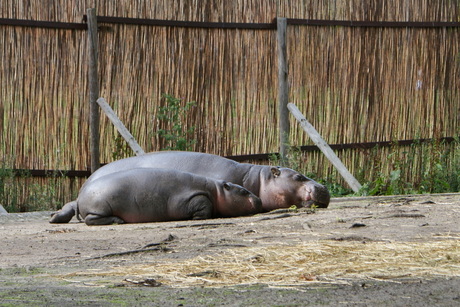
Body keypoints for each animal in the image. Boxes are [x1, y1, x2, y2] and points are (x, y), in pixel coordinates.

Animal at [49, 168, 262, 226]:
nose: (259, 199)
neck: (217, 190)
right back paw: (119, 220)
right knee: (91, 220)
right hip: (99, 208)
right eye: (244, 191)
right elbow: (204, 205)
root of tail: (80, 196)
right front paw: (198, 218)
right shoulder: (194, 196)